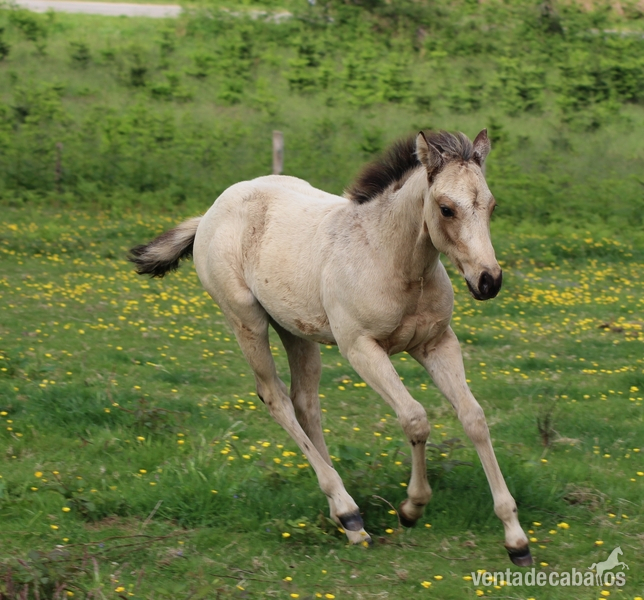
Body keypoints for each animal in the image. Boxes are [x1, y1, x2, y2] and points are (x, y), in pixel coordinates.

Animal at [129, 129, 532, 566]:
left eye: (491, 205)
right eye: (446, 209)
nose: (489, 280)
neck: (393, 259)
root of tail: (210, 214)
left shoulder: (437, 343)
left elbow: (473, 418)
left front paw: (515, 538)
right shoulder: (360, 348)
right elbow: (415, 418)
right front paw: (411, 507)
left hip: (294, 328)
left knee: (305, 402)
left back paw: (346, 518)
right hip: (245, 320)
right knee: (277, 398)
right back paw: (349, 512)